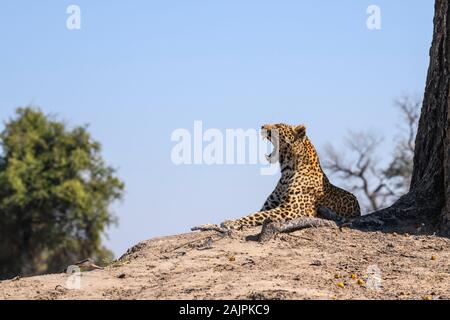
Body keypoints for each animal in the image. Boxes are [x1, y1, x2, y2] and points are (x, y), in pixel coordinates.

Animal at [221, 123, 362, 230]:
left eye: (278, 126)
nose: (262, 126)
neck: (286, 173)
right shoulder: (268, 206)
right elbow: (256, 213)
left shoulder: (290, 210)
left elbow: (255, 216)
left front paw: (230, 222)